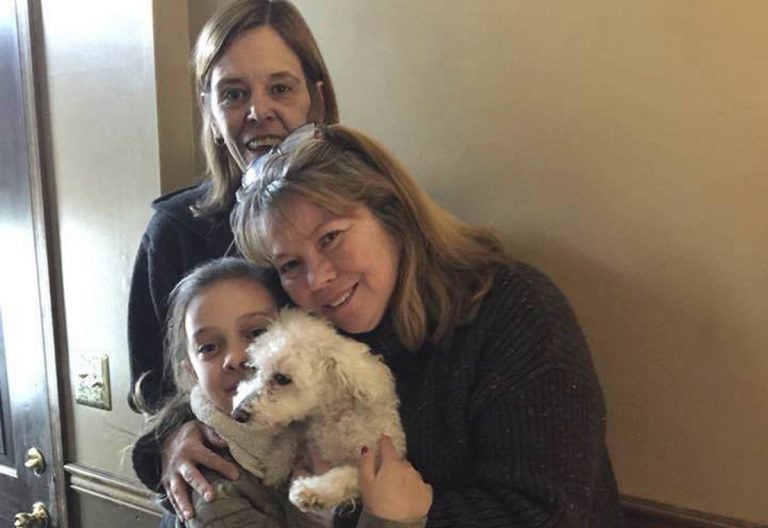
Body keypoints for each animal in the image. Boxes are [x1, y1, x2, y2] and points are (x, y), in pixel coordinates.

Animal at [189, 310, 404, 512]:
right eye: (255, 368)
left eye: (282, 378)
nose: (238, 414)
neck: (333, 416)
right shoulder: (304, 430)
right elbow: (288, 440)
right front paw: (275, 468)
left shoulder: (373, 462)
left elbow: (348, 475)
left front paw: (312, 491)